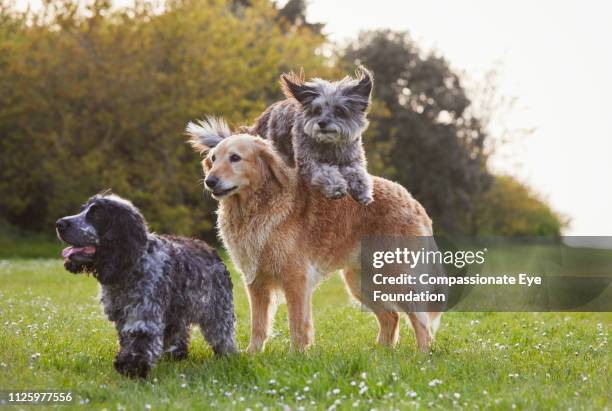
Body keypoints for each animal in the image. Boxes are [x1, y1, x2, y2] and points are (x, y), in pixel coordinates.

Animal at [56, 195, 237, 378]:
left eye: (96, 214)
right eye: (82, 210)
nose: (59, 223)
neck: (130, 265)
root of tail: (212, 252)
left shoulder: (143, 311)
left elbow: (140, 338)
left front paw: (131, 368)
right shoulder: (122, 314)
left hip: (217, 310)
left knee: (223, 335)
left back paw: (227, 357)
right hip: (177, 313)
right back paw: (176, 356)